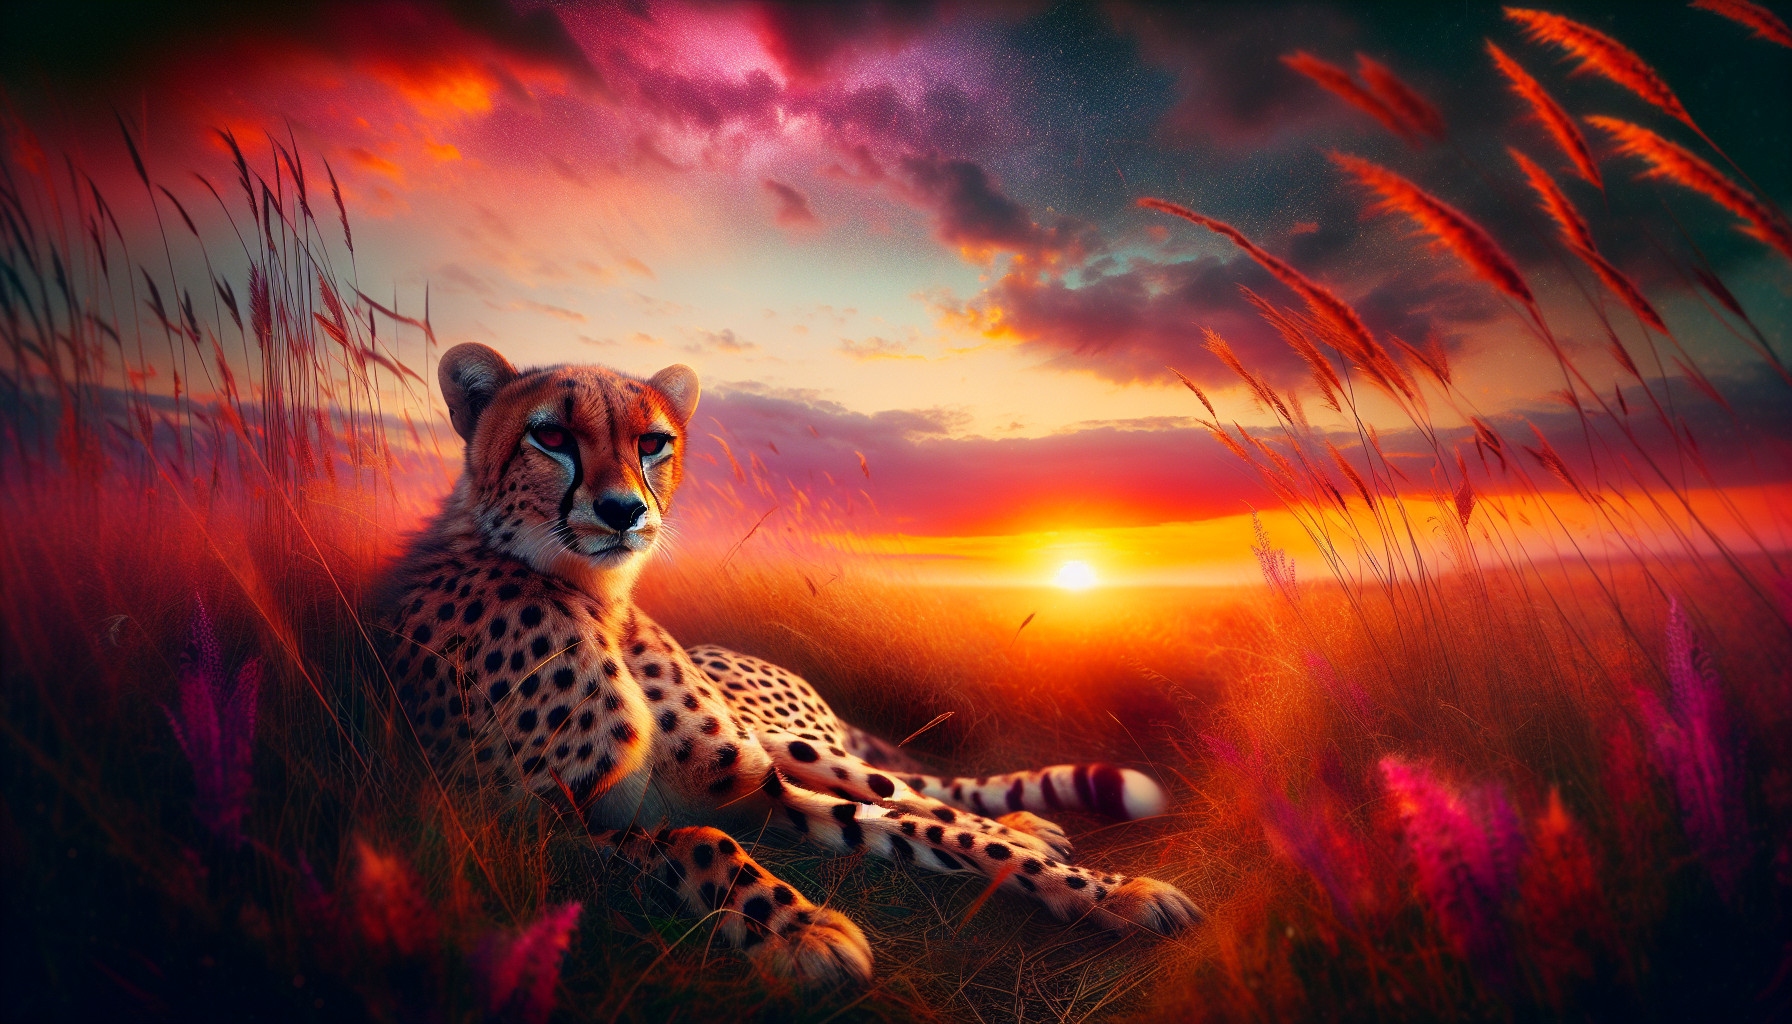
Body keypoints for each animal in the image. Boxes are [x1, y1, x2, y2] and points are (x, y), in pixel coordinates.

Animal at [376, 342, 1200, 986]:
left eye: (652, 442)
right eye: (549, 435)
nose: (623, 511)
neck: (600, 601)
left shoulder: (761, 787)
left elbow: (943, 832)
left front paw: (1112, 891)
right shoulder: (524, 834)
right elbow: (697, 840)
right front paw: (803, 931)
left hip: (798, 744)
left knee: (917, 795)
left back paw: (1032, 828)